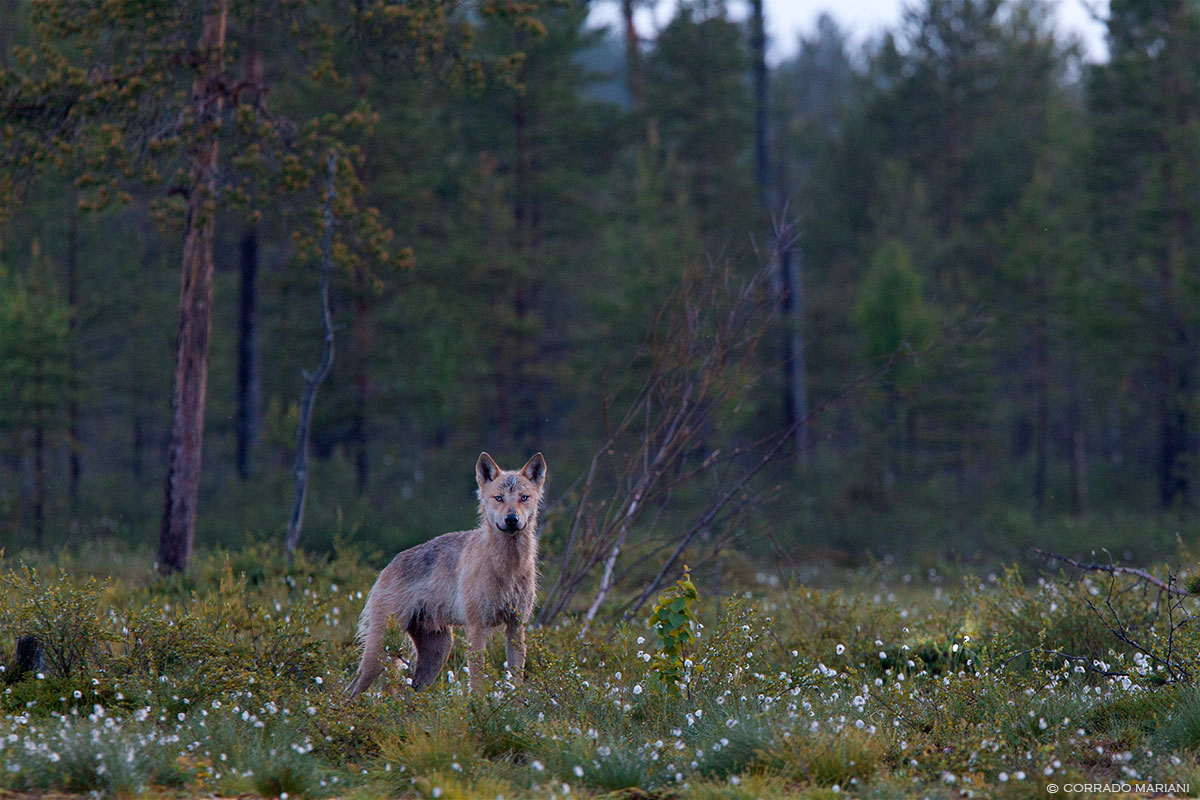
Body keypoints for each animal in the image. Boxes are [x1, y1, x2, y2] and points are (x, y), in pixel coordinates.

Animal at [345, 452, 547, 696]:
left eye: (524, 497)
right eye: (499, 498)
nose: (511, 519)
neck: (507, 566)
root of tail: (387, 566)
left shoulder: (517, 627)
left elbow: (517, 684)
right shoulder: (477, 628)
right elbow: (477, 683)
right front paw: (479, 705)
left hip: (438, 653)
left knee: (410, 695)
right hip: (379, 655)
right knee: (349, 692)